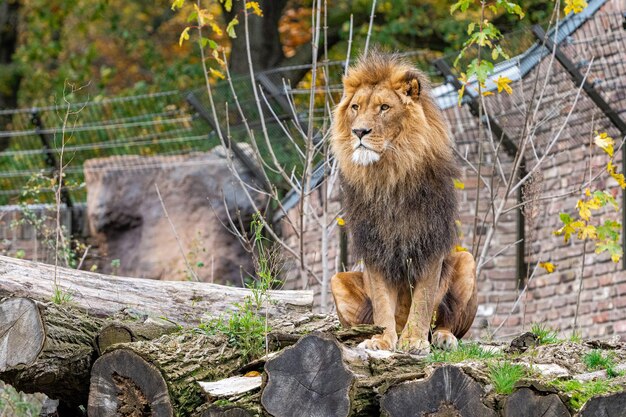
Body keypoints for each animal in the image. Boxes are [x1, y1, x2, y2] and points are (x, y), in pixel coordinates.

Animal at [330, 50, 476, 352]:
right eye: (355, 107)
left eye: (384, 107)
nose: (359, 132)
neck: (389, 175)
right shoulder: (374, 246)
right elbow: (382, 302)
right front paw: (383, 339)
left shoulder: (430, 241)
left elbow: (423, 299)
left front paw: (414, 341)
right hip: (337, 280)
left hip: (467, 261)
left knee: (446, 321)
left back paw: (443, 338)